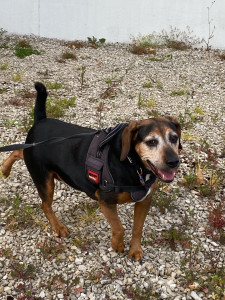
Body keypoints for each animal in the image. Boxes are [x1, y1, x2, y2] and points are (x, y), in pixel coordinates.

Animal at [1, 83, 182, 262]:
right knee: (45, 205)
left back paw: (5, 168)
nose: (174, 162)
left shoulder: (144, 201)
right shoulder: (106, 200)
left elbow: (138, 228)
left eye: (174, 138)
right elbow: (119, 228)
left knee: (18, 151)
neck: (133, 164)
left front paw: (135, 250)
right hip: (43, 179)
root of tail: (41, 121)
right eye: (151, 142)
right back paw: (58, 227)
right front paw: (117, 245)